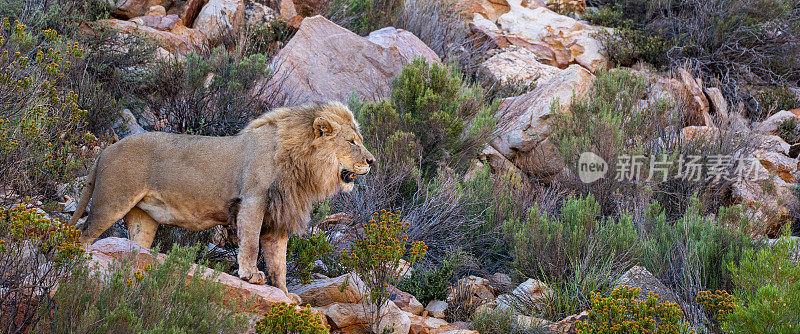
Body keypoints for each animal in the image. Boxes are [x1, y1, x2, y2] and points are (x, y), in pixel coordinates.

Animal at [69, 102, 376, 300]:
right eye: (352, 142)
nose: (372, 161)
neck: (302, 165)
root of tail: (106, 151)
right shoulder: (253, 200)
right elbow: (250, 243)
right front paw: (250, 275)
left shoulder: (278, 219)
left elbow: (279, 262)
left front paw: (286, 294)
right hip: (111, 203)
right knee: (84, 236)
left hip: (142, 220)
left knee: (135, 248)